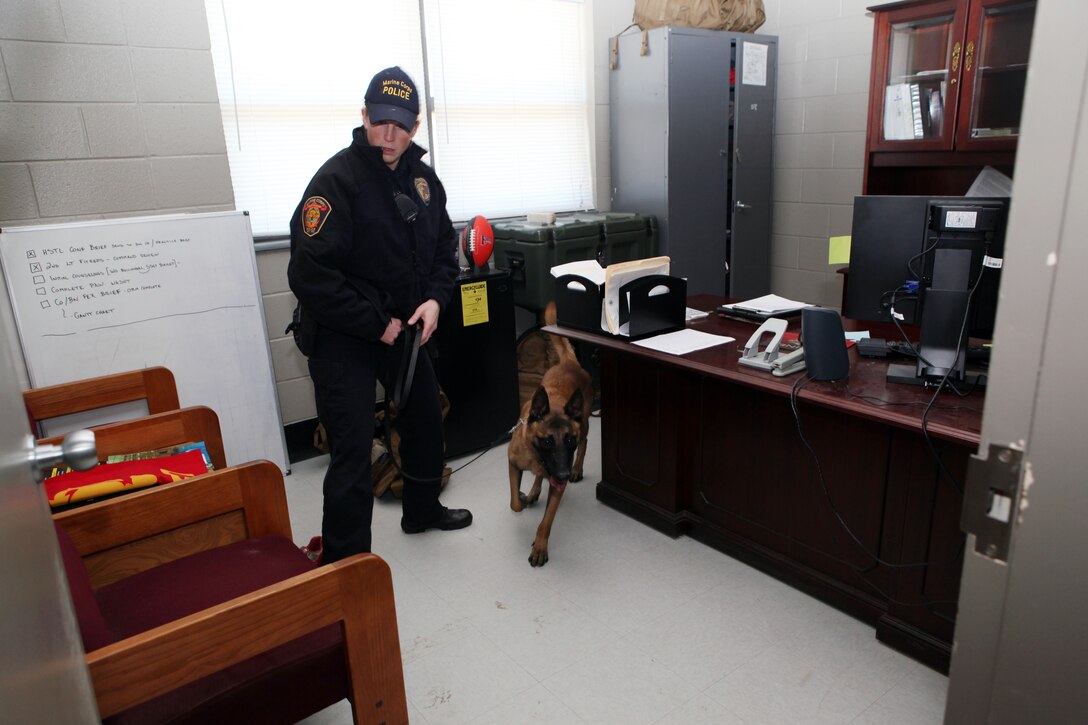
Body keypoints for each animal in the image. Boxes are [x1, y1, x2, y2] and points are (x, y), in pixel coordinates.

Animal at [504, 300, 591, 566]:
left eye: (569, 441)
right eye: (548, 442)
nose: (563, 474)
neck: (536, 456)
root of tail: (570, 362)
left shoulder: (557, 487)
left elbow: (546, 522)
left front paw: (540, 547)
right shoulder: (513, 464)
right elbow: (514, 504)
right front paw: (523, 497)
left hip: (584, 424)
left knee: (586, 443)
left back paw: (577, 469)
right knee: (539, 478)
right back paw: (534, 490)